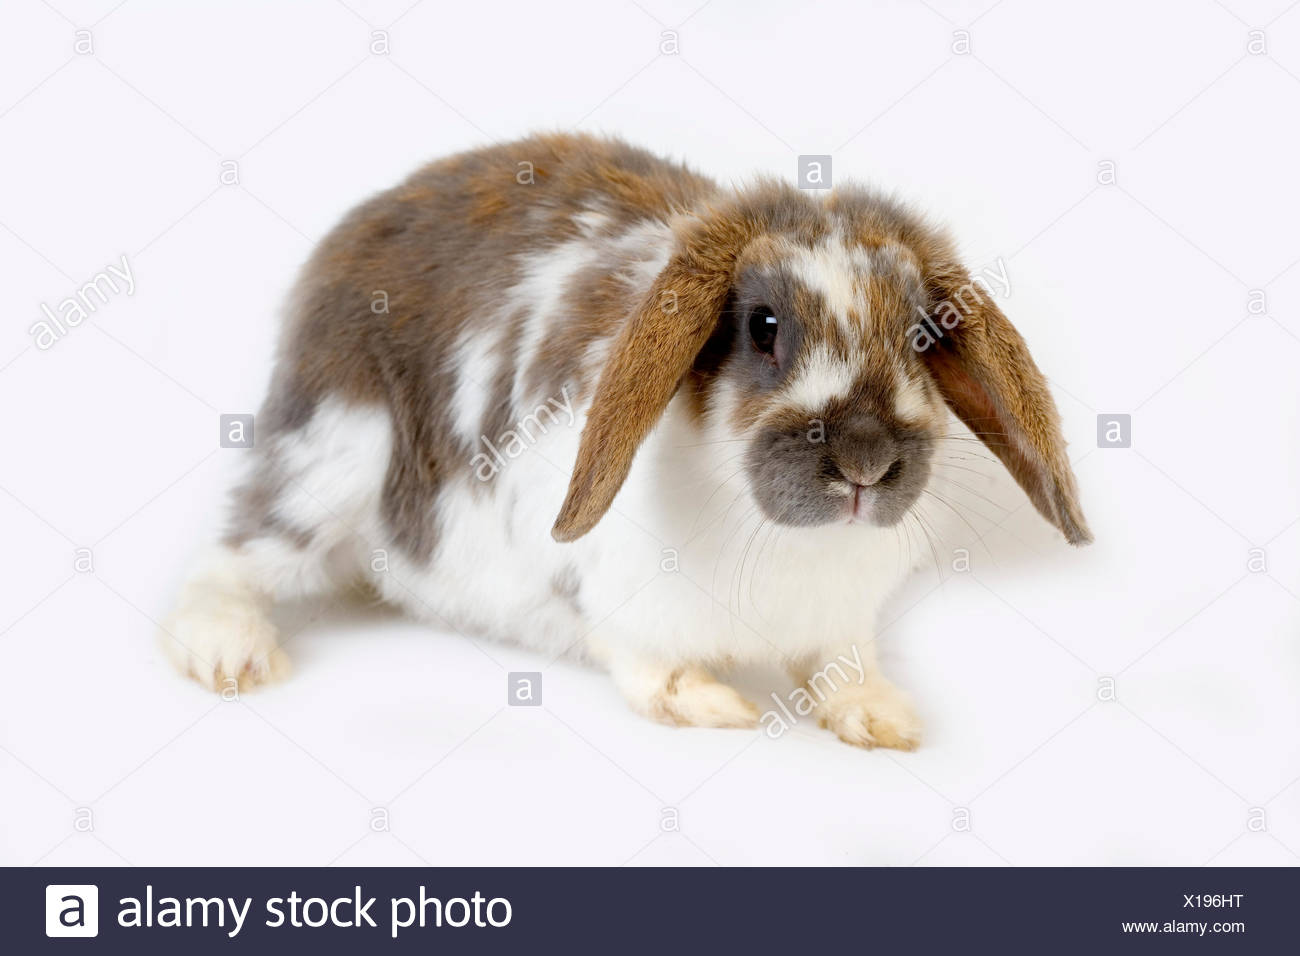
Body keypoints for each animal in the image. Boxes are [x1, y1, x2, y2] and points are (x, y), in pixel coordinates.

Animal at [162, 132, 1090, 750]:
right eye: (763, 326)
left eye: (925, 336)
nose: (866, 461)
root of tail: (354, 230)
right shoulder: (602, 591)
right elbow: (647, 667)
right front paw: (719, 706)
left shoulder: (841, 622)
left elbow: (843, 665)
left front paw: (884, 718)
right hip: (333, 458)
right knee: (229, 559)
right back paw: (230, 654)